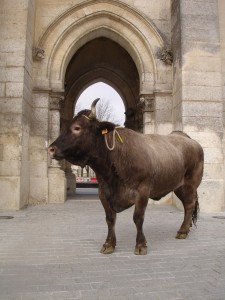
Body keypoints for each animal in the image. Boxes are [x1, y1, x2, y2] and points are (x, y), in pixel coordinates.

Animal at [48, 99, 204, 254]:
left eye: (77, 128)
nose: (51, 149)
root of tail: (186, 137)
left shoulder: (142, 191)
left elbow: (138, 218)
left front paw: (140, 244)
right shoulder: (103, 192)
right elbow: (110, 218)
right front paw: (109, 243)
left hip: (190, 184)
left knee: (189, 205)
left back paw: (183, 231)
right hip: (179, 186)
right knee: (187, 205)